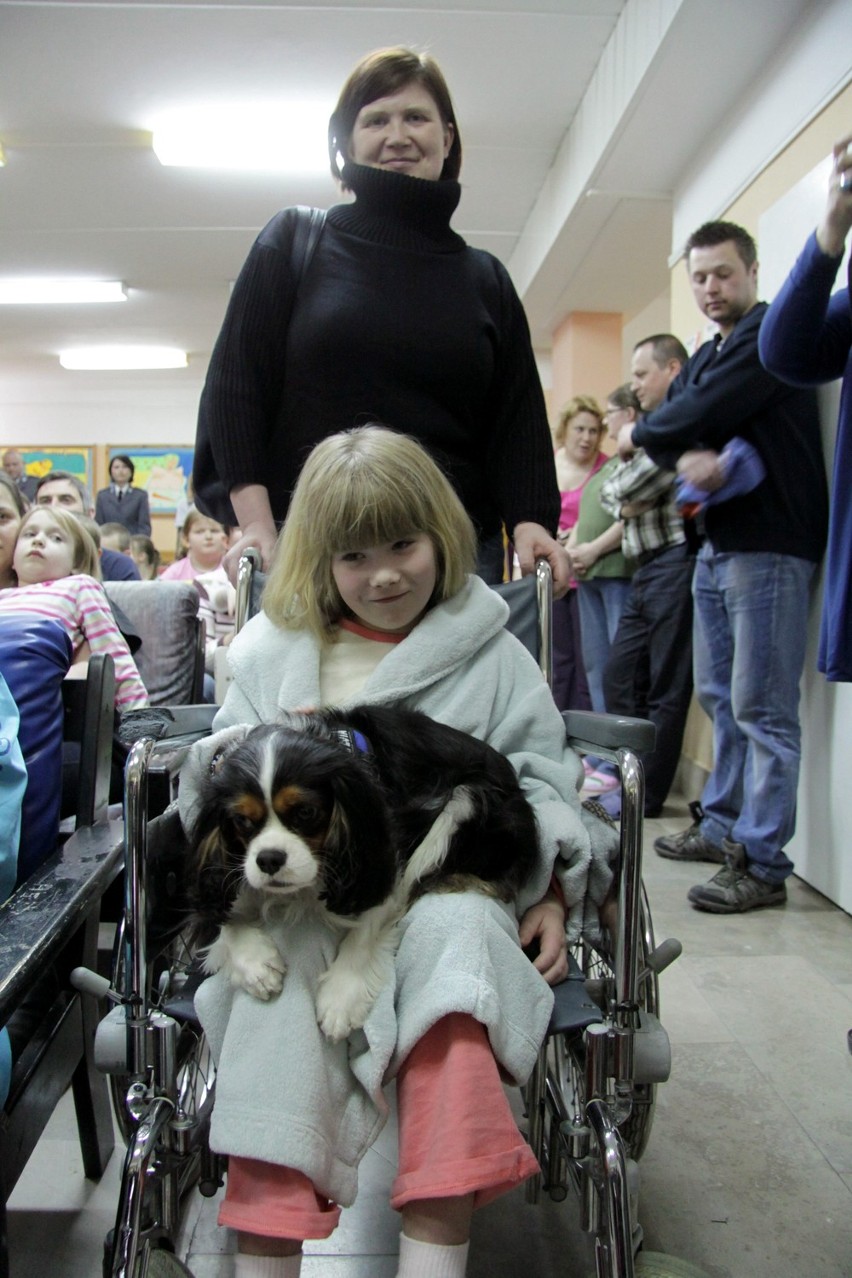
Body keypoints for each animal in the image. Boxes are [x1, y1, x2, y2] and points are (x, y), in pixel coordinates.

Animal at [187, 705, 536, 1042]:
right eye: (242, 820)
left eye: (306, 812)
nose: (269, 859)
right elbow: (219, 915)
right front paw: (257, 965)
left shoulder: (383, 859)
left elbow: (367, 925)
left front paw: (340, 998)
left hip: (465, 803)